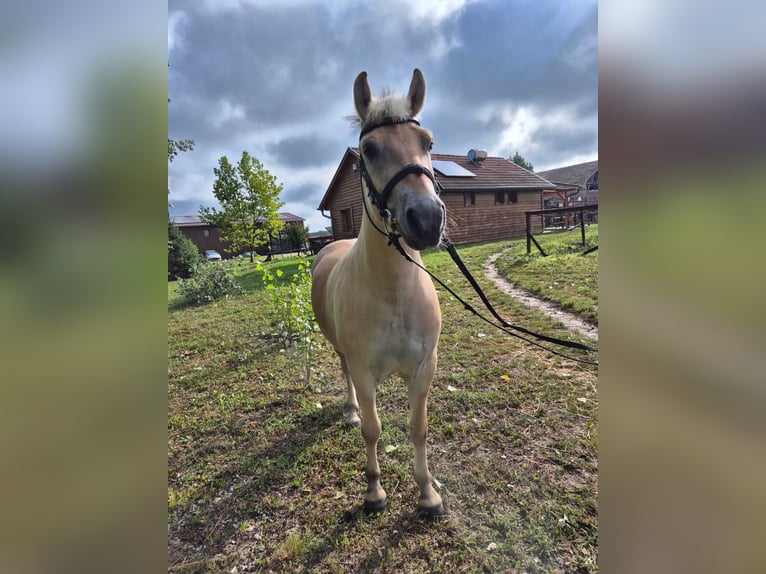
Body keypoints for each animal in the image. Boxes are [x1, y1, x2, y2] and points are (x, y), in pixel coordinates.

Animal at [311, 69, 446, 517]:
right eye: (369, 149)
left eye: (428, 143)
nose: (426, 219)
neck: (394, 294)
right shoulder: (365, 371)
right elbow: (373, 430)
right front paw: (373, 491)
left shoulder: (423, 369)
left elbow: (418, 428)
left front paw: (428, 493)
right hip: (342, 354)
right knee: (347, 382)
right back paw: (351, 412)